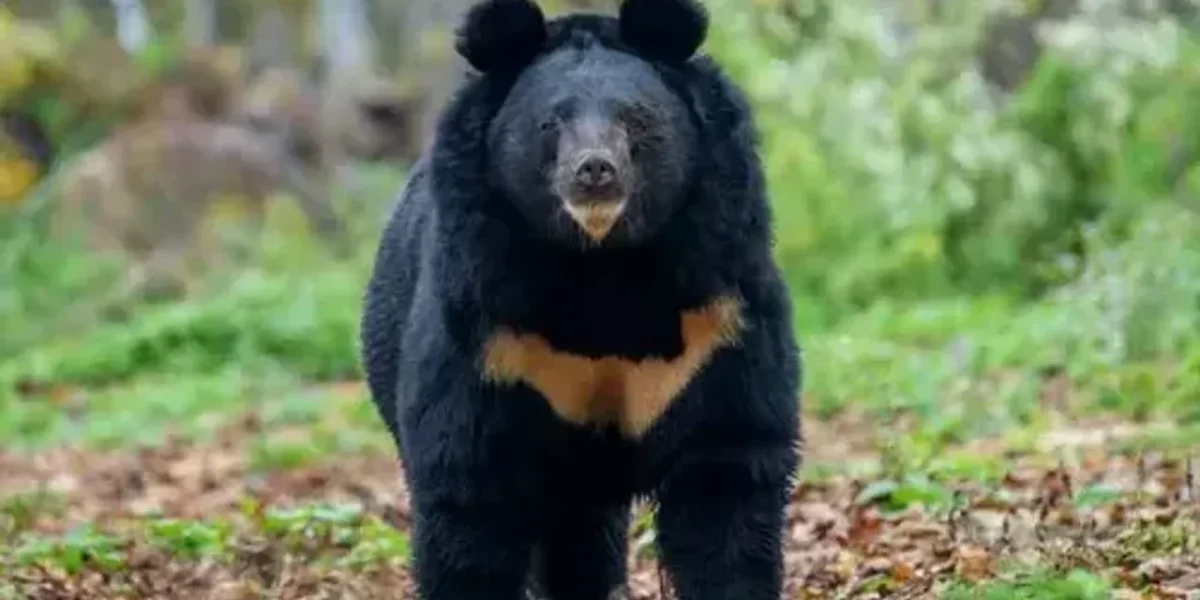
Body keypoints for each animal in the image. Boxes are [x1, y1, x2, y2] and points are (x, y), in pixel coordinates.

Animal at [358, 0, 804, 598]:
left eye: (635, 118)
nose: (595, 170)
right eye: (550, 123)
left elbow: (726, 478)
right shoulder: (489, 330)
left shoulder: (717, 315)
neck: (601, 263)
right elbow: (472, 489)